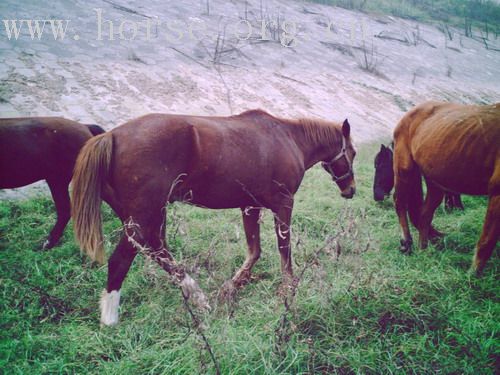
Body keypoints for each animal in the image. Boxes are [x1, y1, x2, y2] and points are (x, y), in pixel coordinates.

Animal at [72, 109, 358, 326]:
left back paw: (197, 296)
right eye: (352, 153)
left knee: (158, 250)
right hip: (142, 217)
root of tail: (112, 136)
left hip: (151, 215)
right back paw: (110, 318)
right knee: (122, 260)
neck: (288, 138)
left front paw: (232, 286)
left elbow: (254, 251)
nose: (351, 190)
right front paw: (288, 287)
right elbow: (283, 249)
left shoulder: (249, 207)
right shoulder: (283, 204)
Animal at [392, 101, 498, 274]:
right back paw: (406, 243)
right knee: (400, 202)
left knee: (425, 214)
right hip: (404, 169)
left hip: (435, 182)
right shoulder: (496, 192)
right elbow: (487, 241)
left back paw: (423, 250)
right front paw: (472, 276)